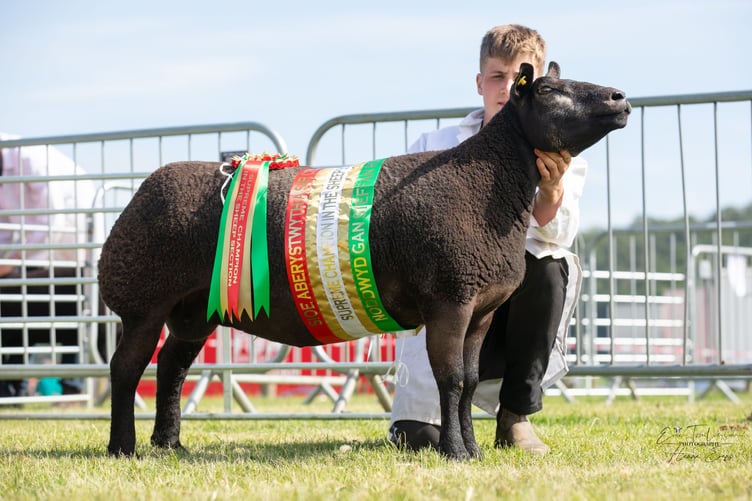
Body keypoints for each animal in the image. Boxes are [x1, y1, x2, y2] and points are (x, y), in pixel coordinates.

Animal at [99, 62, 630, 460]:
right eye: (551, 90)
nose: (620, 98)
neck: (488, 184)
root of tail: (144, 188)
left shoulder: (481, 308)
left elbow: (471, 381)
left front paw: (473, 450)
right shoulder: (450, 297)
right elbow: (451, 379)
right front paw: (454, 453)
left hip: (195, 308)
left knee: (171, 367)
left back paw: (169, 445)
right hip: (142, 299)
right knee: (126, 368)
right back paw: (123, 447)